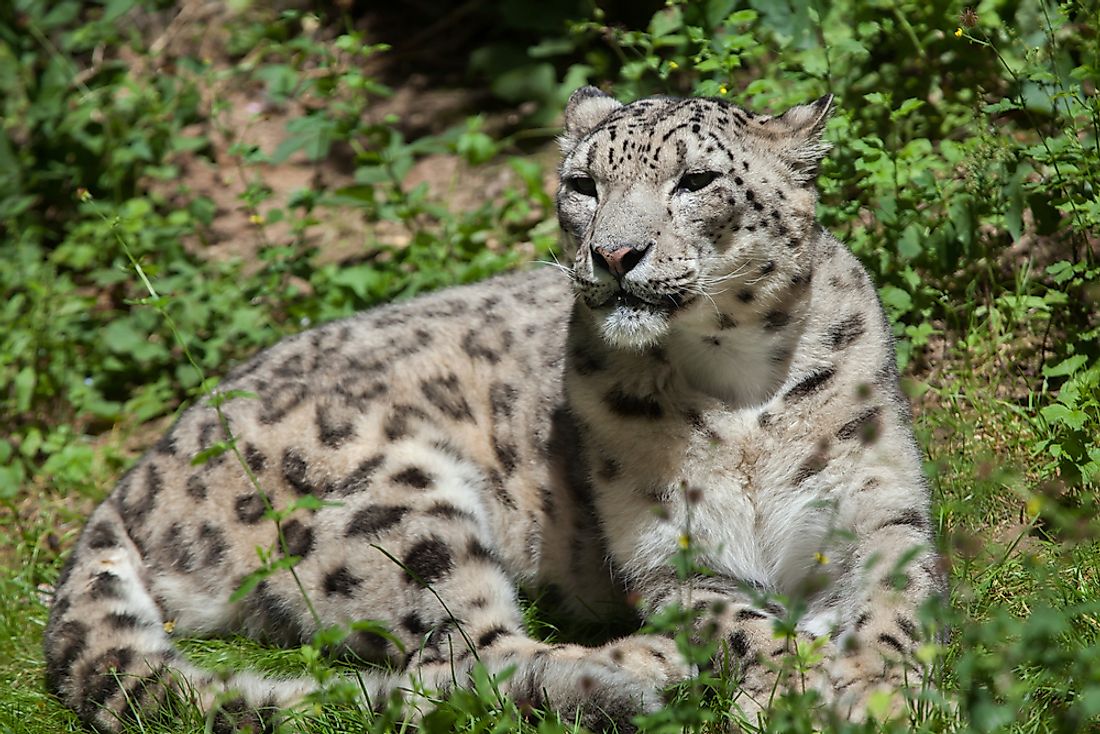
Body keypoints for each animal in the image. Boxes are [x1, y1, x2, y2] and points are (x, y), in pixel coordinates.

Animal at [38, 86, 941, 730]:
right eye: (582, 184)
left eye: (696, 180)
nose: (614, 253)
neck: (737, 385)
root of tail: (133, 481)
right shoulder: (668, 556)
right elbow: (735, 620)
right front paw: (793, 681)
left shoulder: (881, 503)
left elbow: (901, 596)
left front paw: (872, 683)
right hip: (391, 508)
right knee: (460, 660)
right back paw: (642, 667)